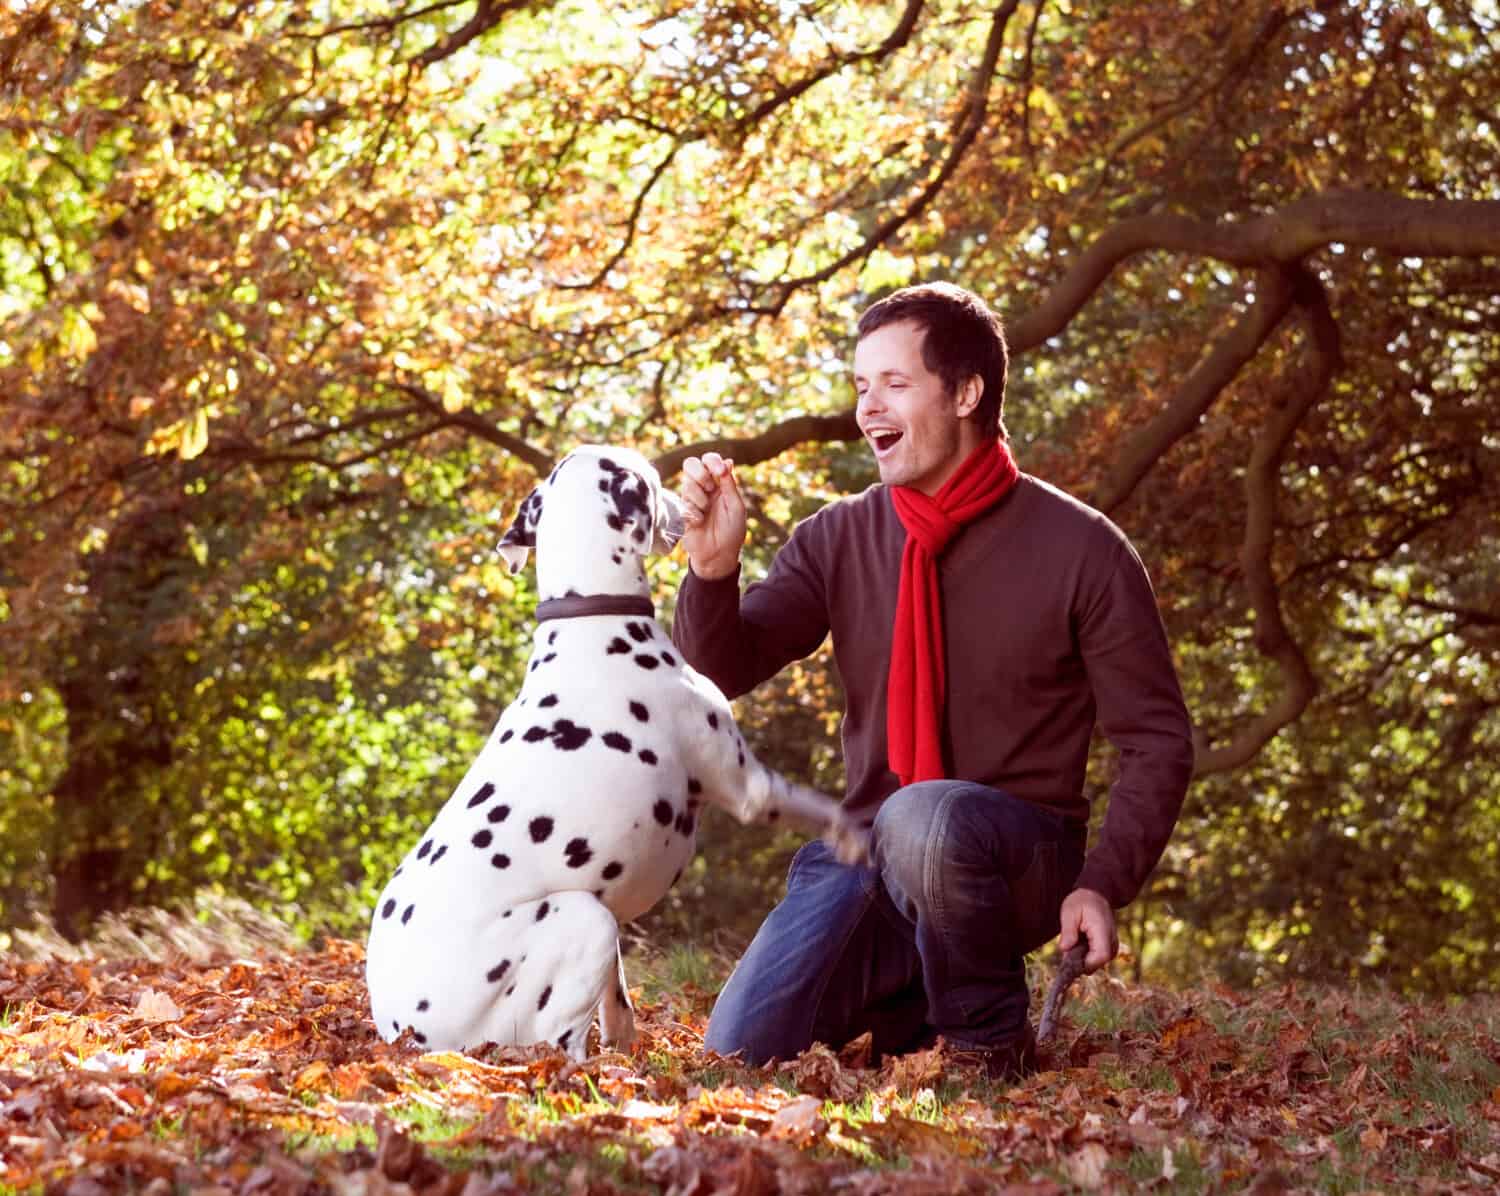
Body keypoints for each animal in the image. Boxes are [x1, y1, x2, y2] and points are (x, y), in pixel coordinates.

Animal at [361, 444, 870, 1056]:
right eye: (650, 477)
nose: (683, 497)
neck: (592, 617)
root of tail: (405, 1031)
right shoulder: (749, 786)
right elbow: (820, 806)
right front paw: (858, 838)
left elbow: (618, 997)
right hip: (585, 918)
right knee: (559, 1049)